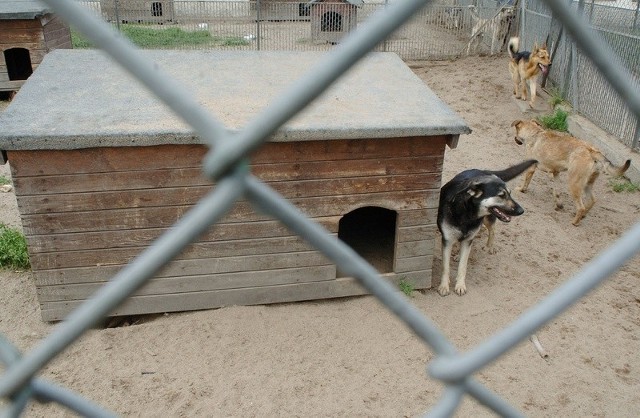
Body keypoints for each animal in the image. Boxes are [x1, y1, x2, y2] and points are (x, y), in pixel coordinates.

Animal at [436, 158, 536, 296]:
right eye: (501, 195)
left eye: (510, 194)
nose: (521, 211)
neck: (467, 213)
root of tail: (483, 171)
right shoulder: (447, 240)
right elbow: (445, 267)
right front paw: (444, 286)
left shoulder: (468, 240)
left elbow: (463, 266)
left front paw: (460, 285)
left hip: (488, 219)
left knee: (492, 230)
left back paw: (489, 246)